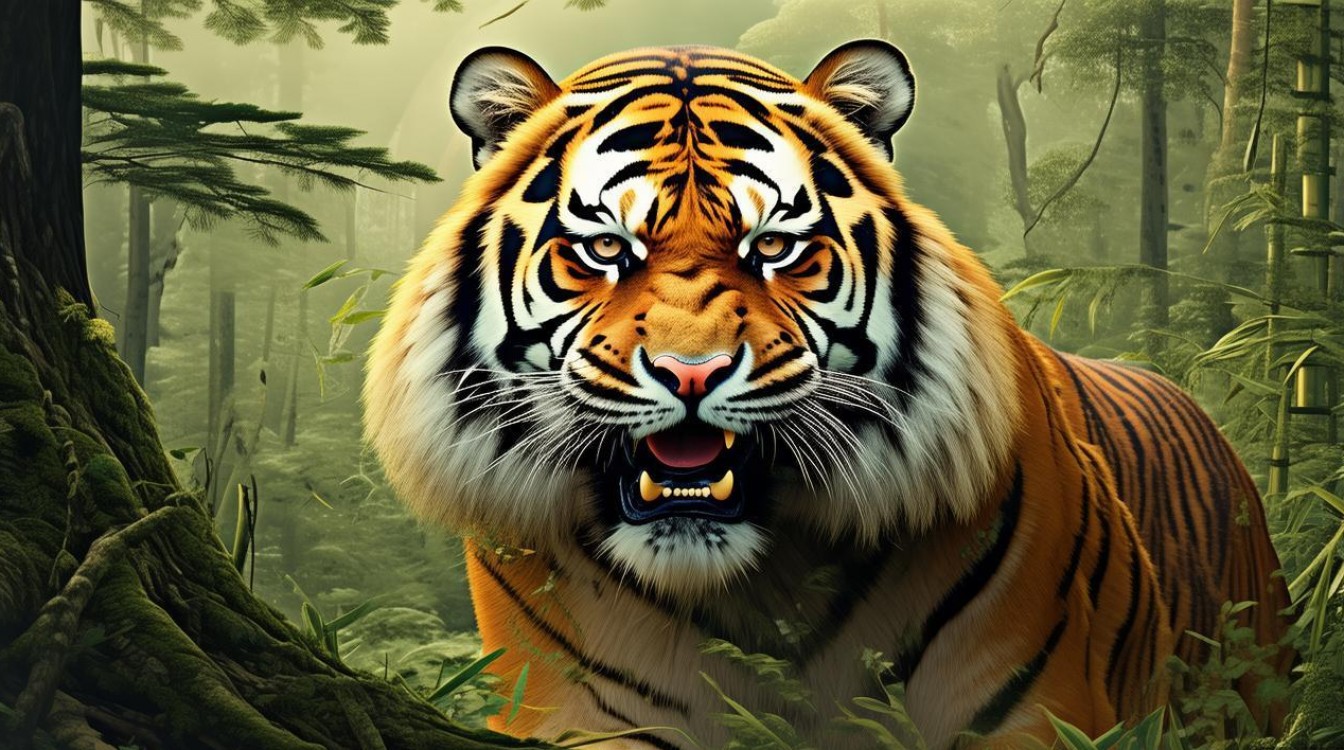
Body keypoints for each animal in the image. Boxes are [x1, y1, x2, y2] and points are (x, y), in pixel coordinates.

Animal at [363, 41, 1293, 749]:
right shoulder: (571, 711)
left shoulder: (1035, 708)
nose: (691, 373)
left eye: (773, 246)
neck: (756, 584)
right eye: (604, 249)